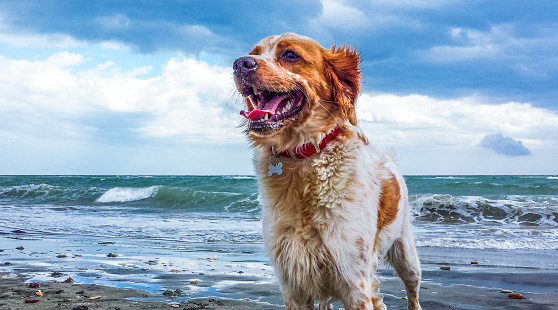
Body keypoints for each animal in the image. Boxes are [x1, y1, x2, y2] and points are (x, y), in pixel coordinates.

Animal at [234, 33, 422, 310]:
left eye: (290, 55)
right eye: (253, 52)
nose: (239, 63)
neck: (301, 161)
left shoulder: (355, 280)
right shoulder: (293, 283)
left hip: (407, 256)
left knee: (413, 293)